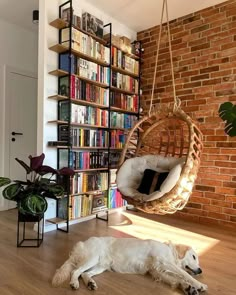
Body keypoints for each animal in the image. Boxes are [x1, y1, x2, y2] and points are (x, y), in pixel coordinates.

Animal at [51, 238, 206, 295]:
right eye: (194, 257)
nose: (200, 270)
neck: (170, 251)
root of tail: (82, 243)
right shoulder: (164, 261)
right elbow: (183, 273)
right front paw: (199, 285)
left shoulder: (157, 272)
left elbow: (176, 279)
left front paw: (188, 288)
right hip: (92, 258)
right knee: (75, 271)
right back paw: (74, 283)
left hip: (101, 265)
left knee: (84, 273)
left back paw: (90, 283)